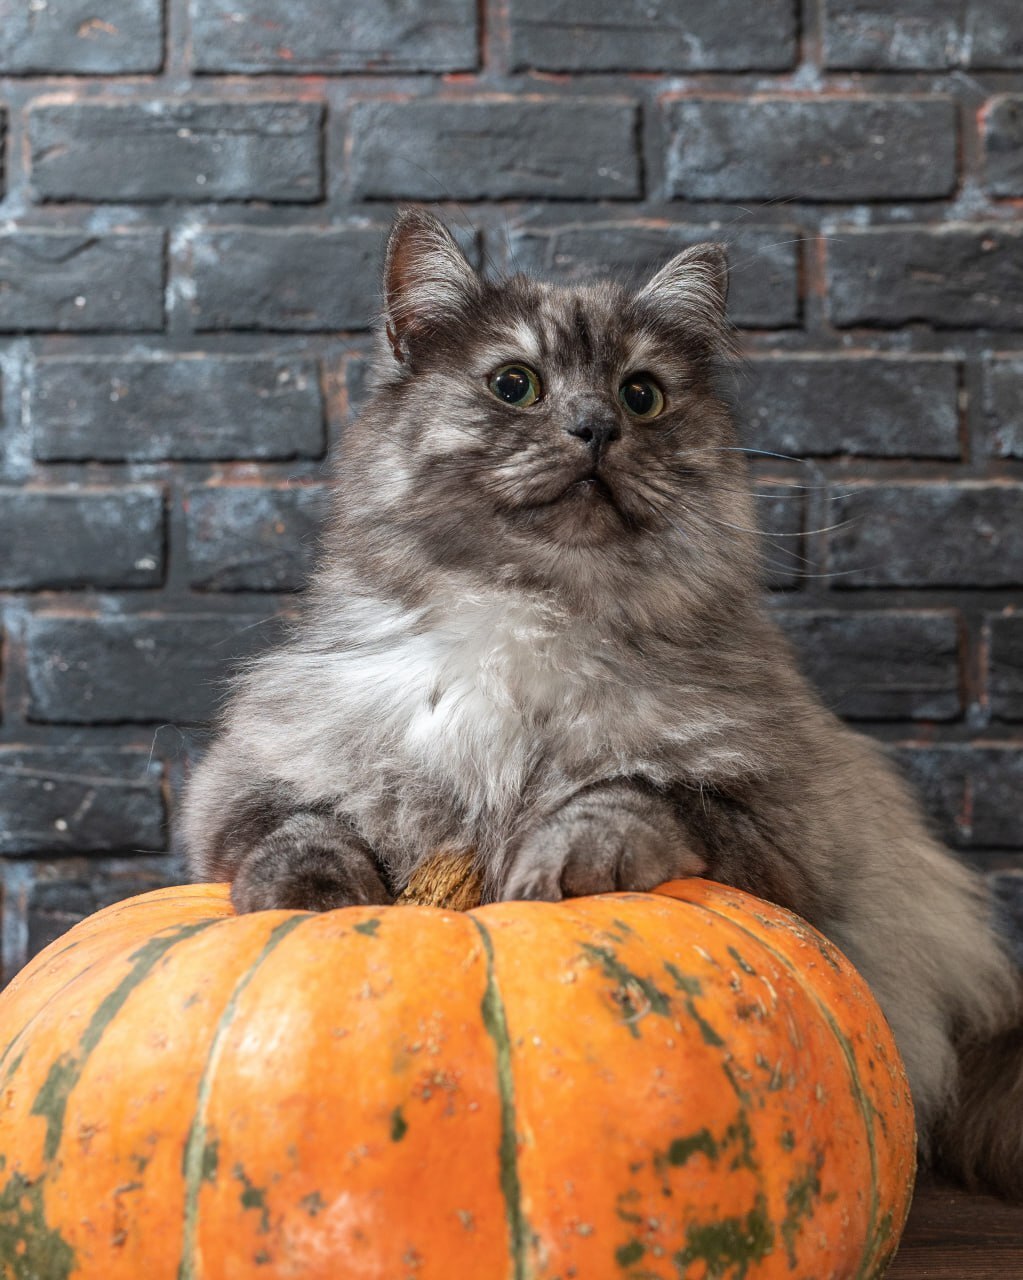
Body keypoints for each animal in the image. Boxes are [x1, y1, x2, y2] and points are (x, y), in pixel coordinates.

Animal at [184, 207, 1023, 1198]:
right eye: (515, 385)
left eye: (641, 395)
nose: (593, 428)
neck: (533, 617)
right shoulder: (245, 782)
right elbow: (300, 831)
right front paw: (316, 899)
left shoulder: (776, 829)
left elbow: (628, 796)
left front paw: (561, 864)